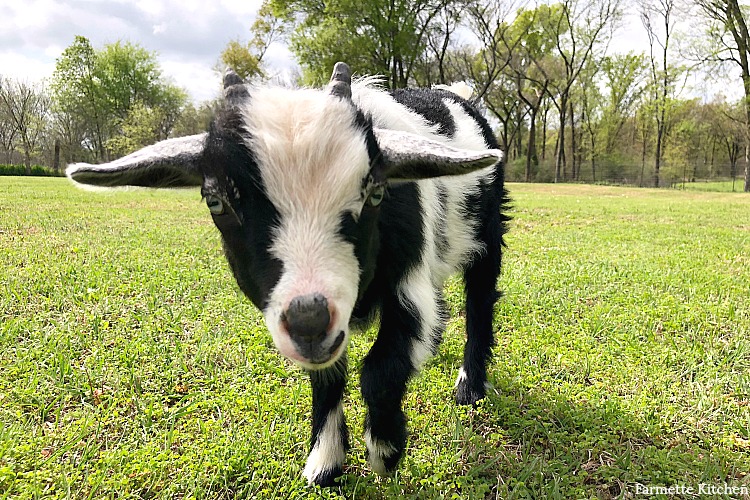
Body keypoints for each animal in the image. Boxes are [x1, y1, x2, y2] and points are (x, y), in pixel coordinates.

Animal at [67, 63, 512, 488]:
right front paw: (326, 462)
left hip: (487, 233)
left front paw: (385, 452)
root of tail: (452, 92)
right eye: (215, 202)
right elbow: (328, 379)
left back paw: (470, 387)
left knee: (479, 303)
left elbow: (381, 367)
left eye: (376, 193)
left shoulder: (409, 285)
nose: (309, 323)